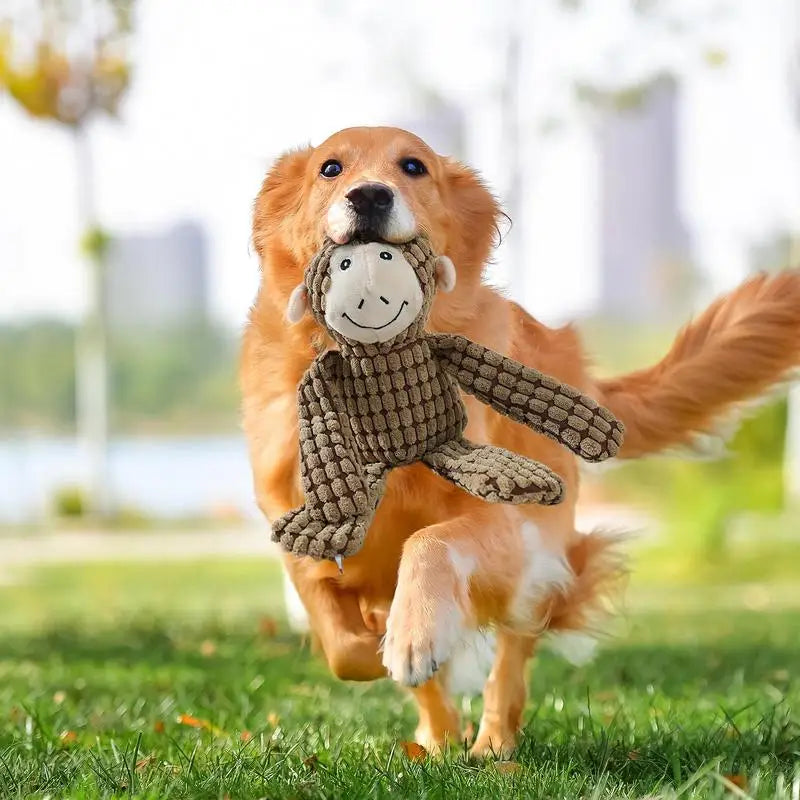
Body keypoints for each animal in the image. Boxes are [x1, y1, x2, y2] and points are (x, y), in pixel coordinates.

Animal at [241, 125, 800, 756]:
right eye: (330, 168)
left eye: (413, 166)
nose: (370, 195)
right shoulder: (293, 519)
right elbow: (340, 641)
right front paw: (390, 644)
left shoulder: (506, 524)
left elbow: (430, 542)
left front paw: (412, 635)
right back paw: (438, 737)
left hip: (538, 563)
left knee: (511, 656)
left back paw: (492, 743)